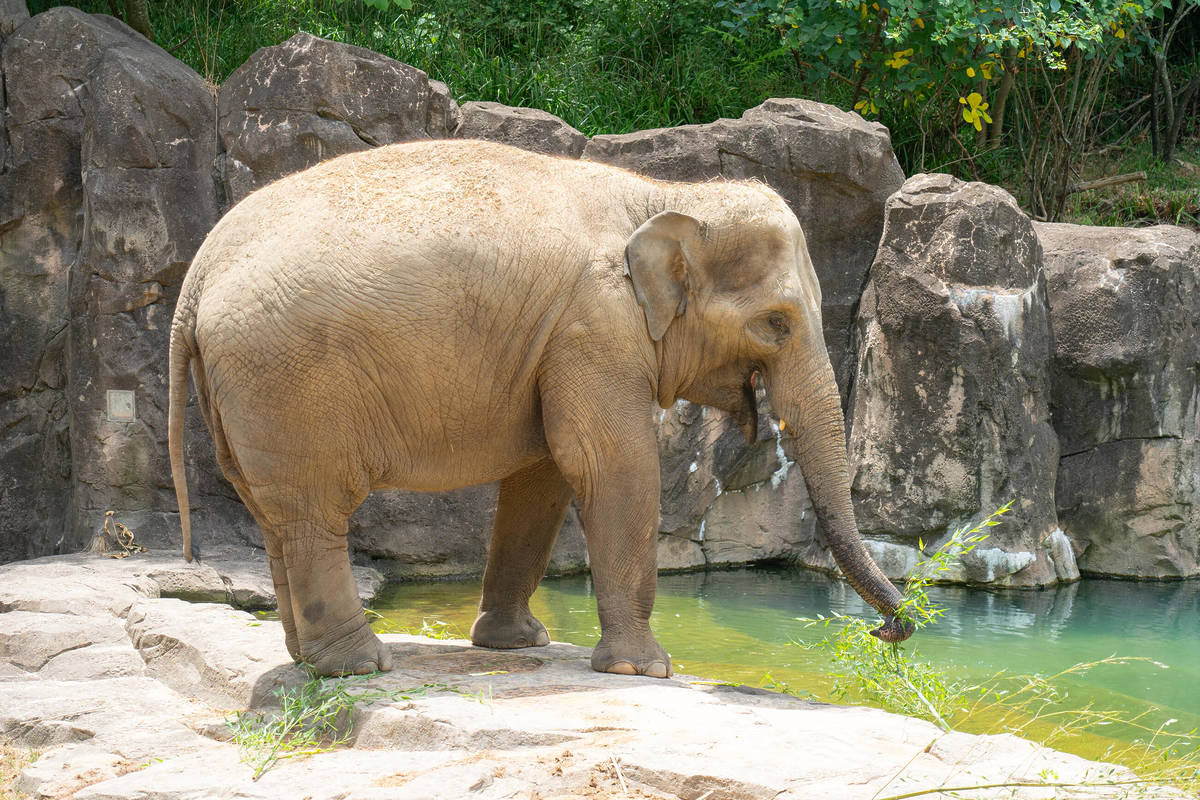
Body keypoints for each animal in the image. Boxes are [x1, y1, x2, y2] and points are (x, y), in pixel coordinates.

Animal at [168, 139, 911, 679]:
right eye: (776, 324)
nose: (891, 629)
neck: (665, 195)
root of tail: (195, 278)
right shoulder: (595, 328)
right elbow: (612, 465)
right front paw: (647, 671)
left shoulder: (557, 344)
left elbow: (544, 475)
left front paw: (519, 643)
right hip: (288, 379)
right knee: (316, 510)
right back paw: (358, 667)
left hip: (246, 391)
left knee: (275, 513)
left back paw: (309, 660)